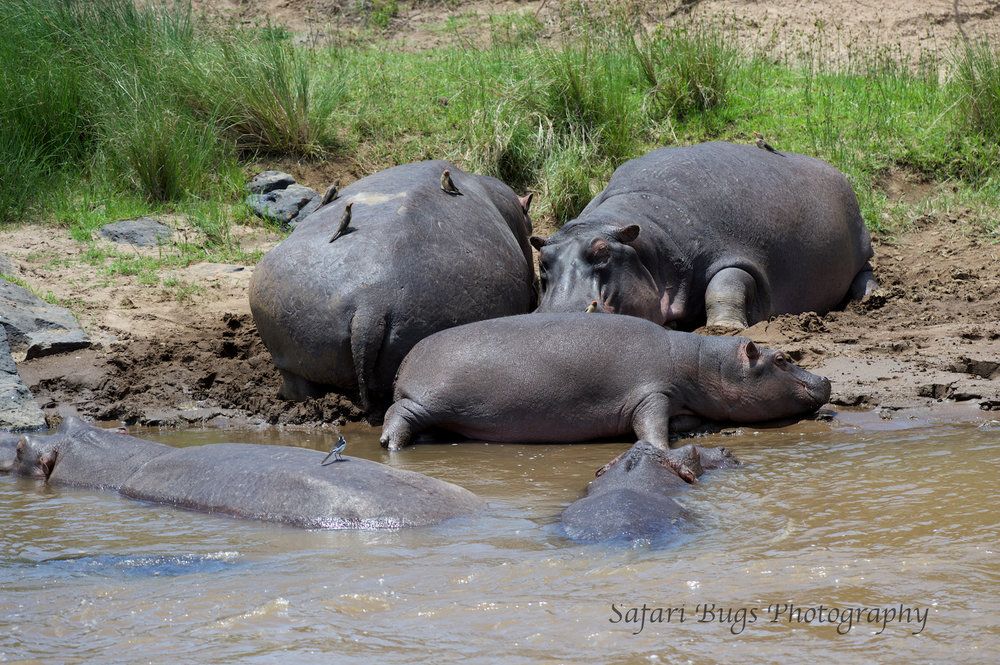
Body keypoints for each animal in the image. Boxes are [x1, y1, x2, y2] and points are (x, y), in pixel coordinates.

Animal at [378, 312, 832, 452]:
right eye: (782, 358)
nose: (826, 378)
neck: (704, 364)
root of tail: (404, 361)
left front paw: (694, 428)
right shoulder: (652, 393)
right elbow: (650, 426)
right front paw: (663, 450)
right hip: (427, 401)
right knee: (398, 413)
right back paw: (390, 446)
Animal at [532, 141, 876, 328]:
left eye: (603, 251)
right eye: (543, 261)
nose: (562, 313)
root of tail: (833, 169)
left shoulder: (729, 254)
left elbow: (726, 285)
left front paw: (724, 329)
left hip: (862, 246)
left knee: (866, 272)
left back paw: (872, 299)